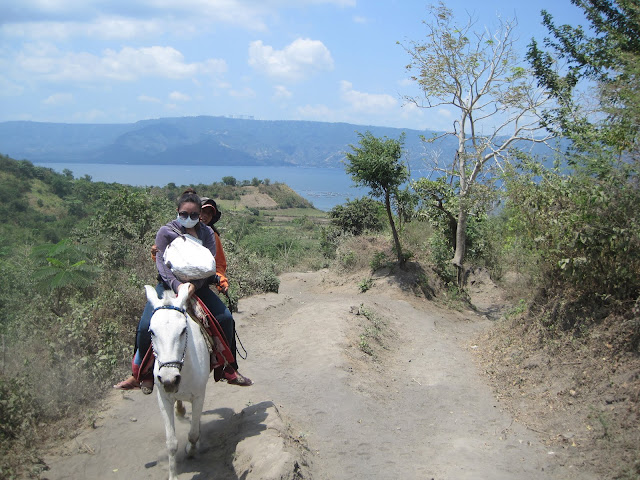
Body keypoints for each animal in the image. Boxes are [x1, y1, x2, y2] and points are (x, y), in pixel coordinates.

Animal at [145, 286, 210, 478]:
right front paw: (172, 475)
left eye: (182, 330)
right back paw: (180, 409)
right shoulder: (163, 399)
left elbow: (193, 434)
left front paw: (191, 450)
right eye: (151, 332)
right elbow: (171, 443)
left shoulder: (199, 396)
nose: (169, 379)